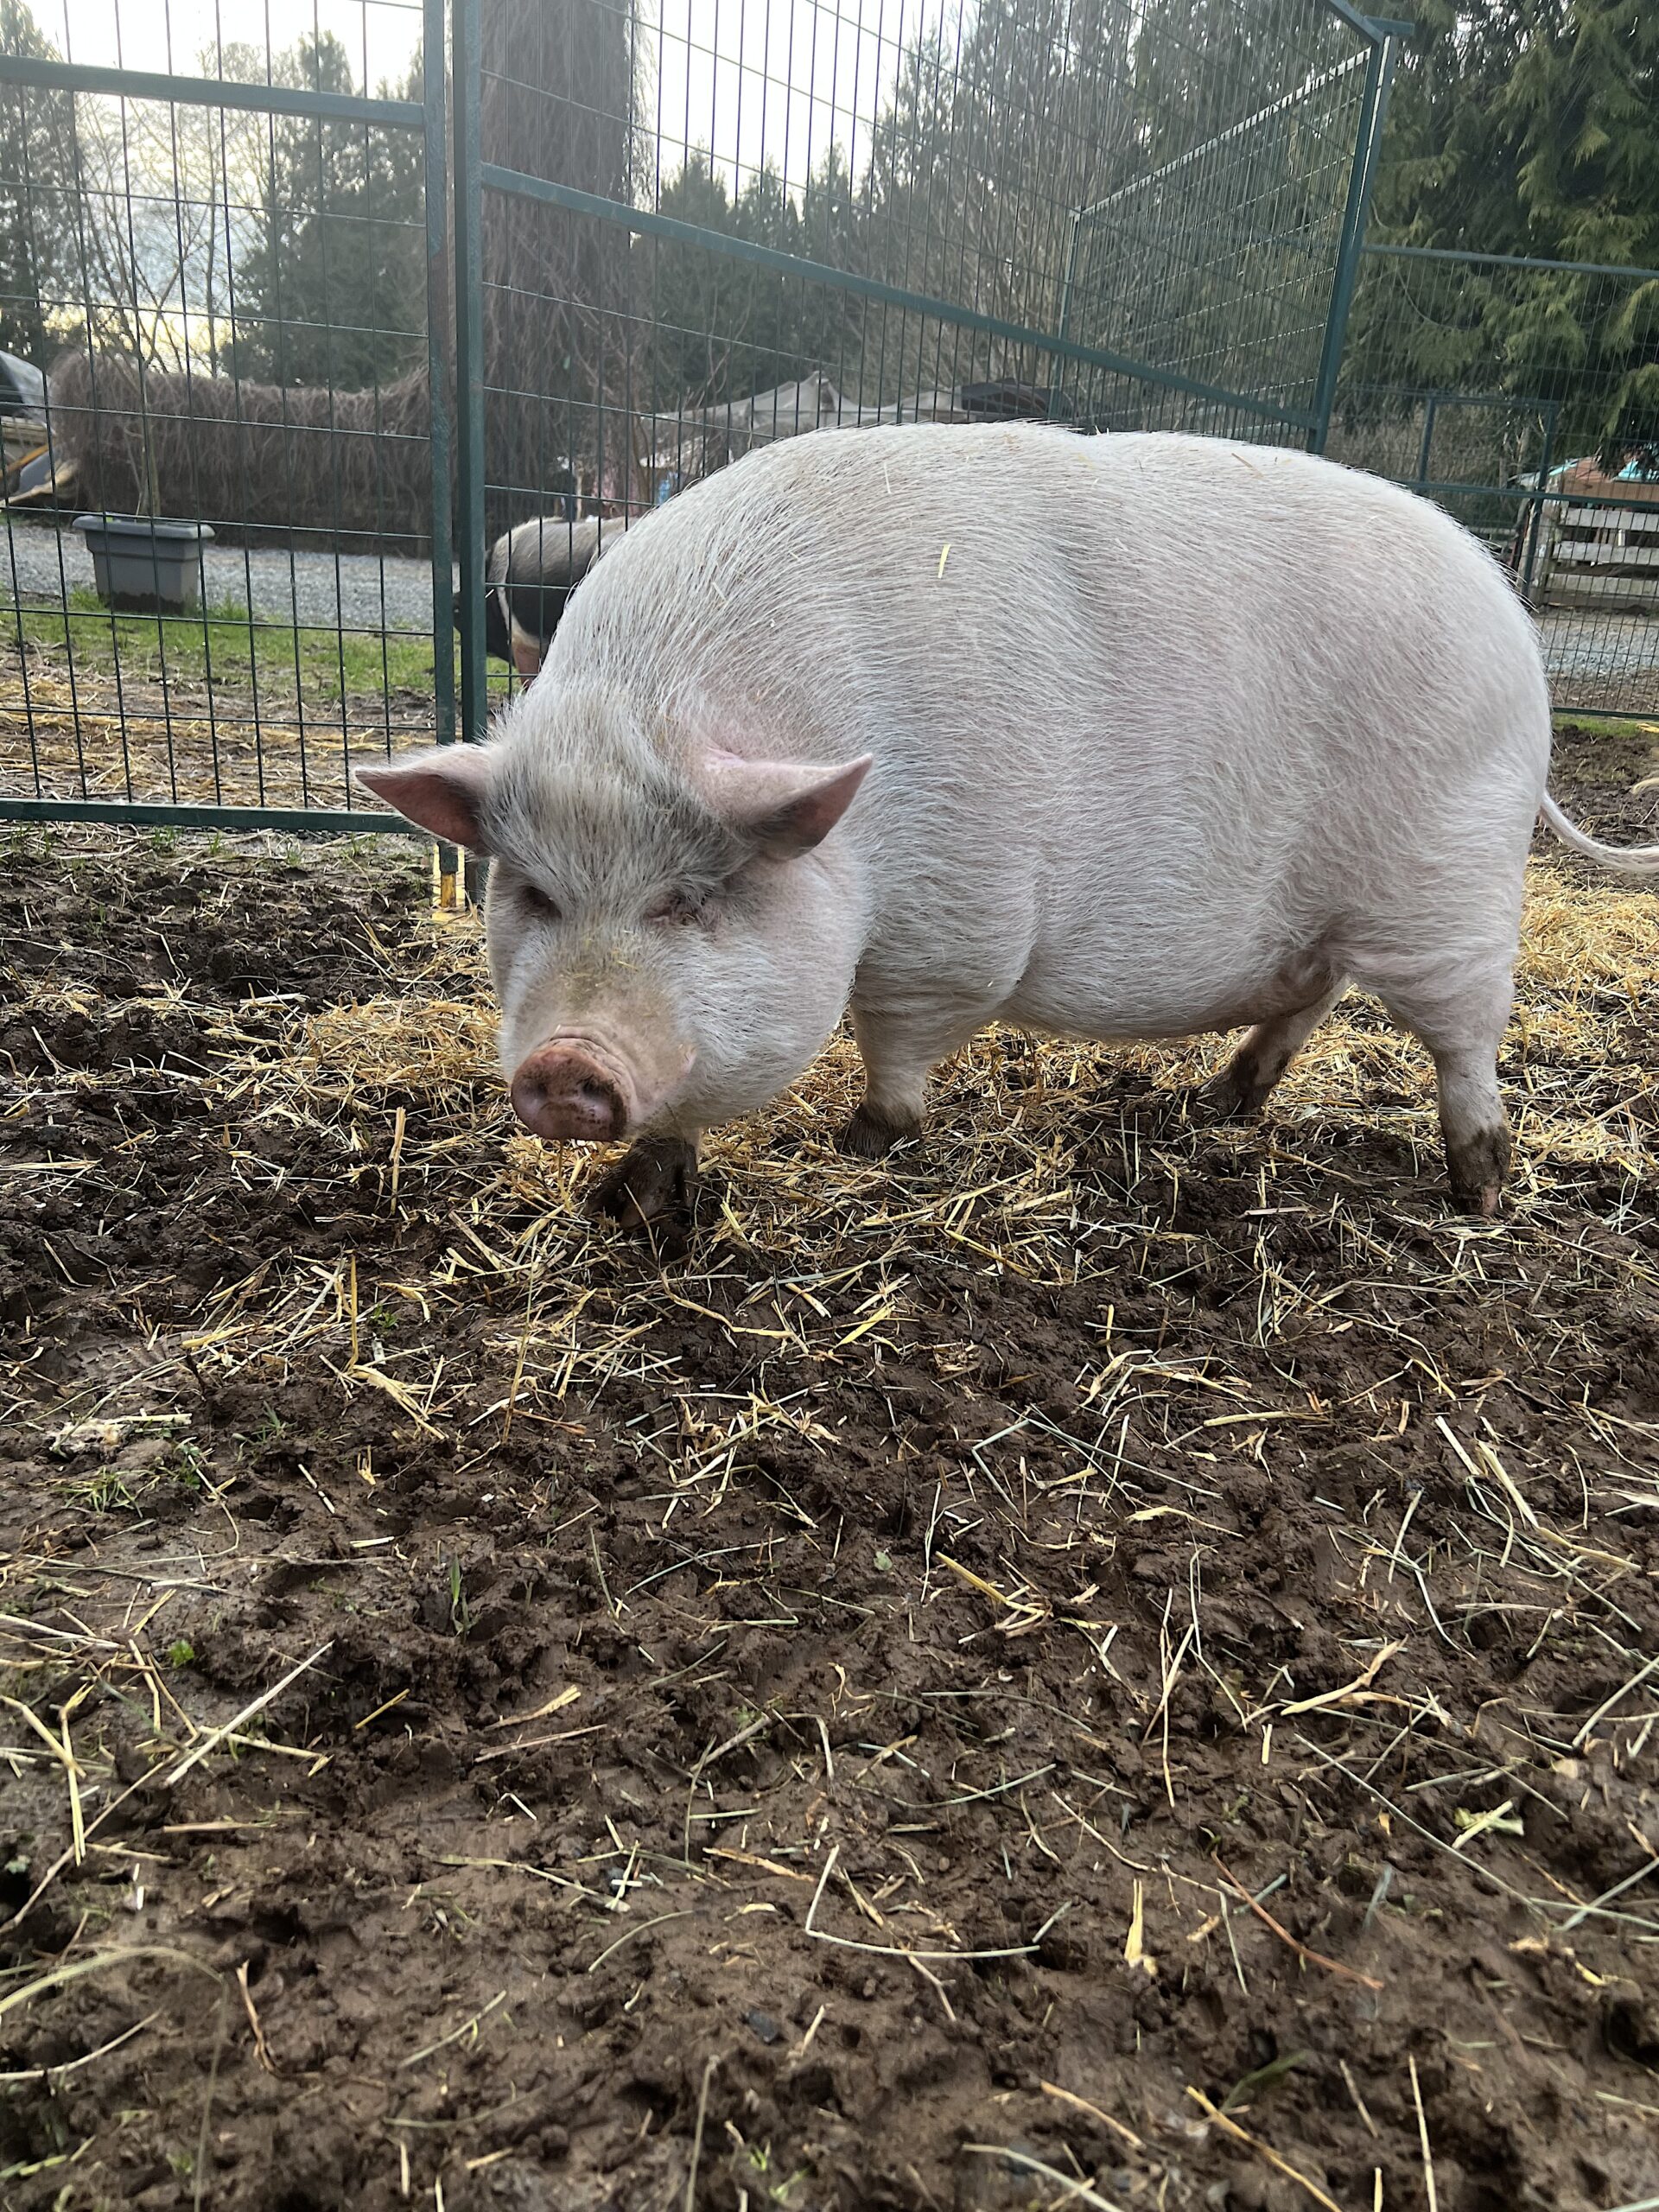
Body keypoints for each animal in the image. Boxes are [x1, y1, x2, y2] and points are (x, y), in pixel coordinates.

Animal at [361, 424, 1659, 1240]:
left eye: (687, 901)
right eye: (534, 893)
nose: (564, 1066)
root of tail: (1520, 637)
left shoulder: (954, 929)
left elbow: (897, 1048)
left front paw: (861, 1145)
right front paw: (621, 1205)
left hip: (1453, 886)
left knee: (1465, 1041)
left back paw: (1479, 1195)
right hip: (1337, 917)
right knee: (1314, 996)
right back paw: (1217, 1111)